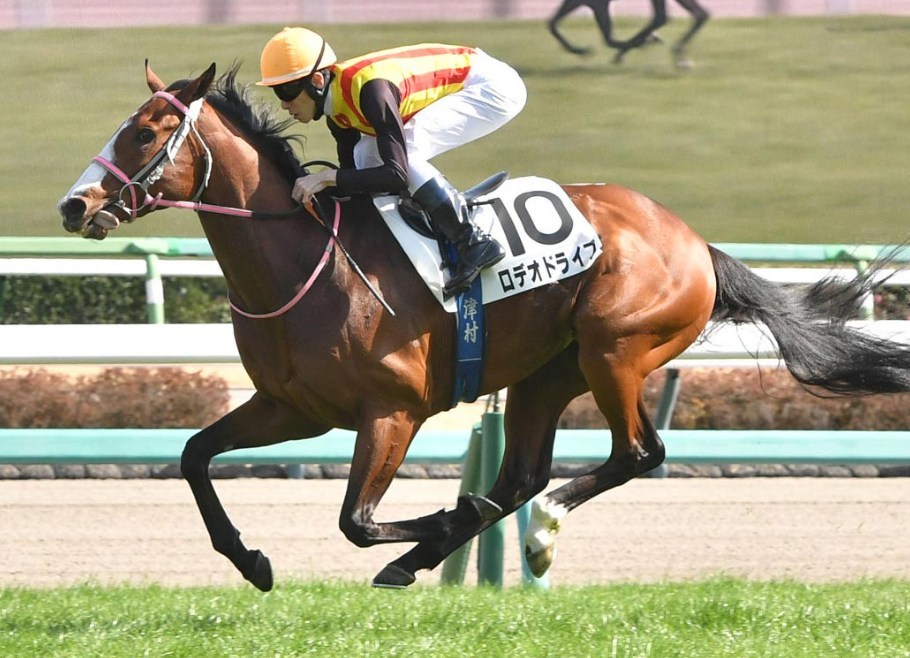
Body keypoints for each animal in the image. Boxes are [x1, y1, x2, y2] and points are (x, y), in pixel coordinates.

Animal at [58, 63, 910, 590]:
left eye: (144, 132)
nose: (74, 205)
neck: (306, 262)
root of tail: (695, 241)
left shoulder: (392, 411)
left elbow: (355, 521)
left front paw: (439, 517)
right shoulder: (292, 409)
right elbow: (195, 456)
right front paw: (251, 561)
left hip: (615, 349)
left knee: (638, 453)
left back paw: (531, 535)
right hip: (547, 371)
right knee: (521, 476)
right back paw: (448, 546)